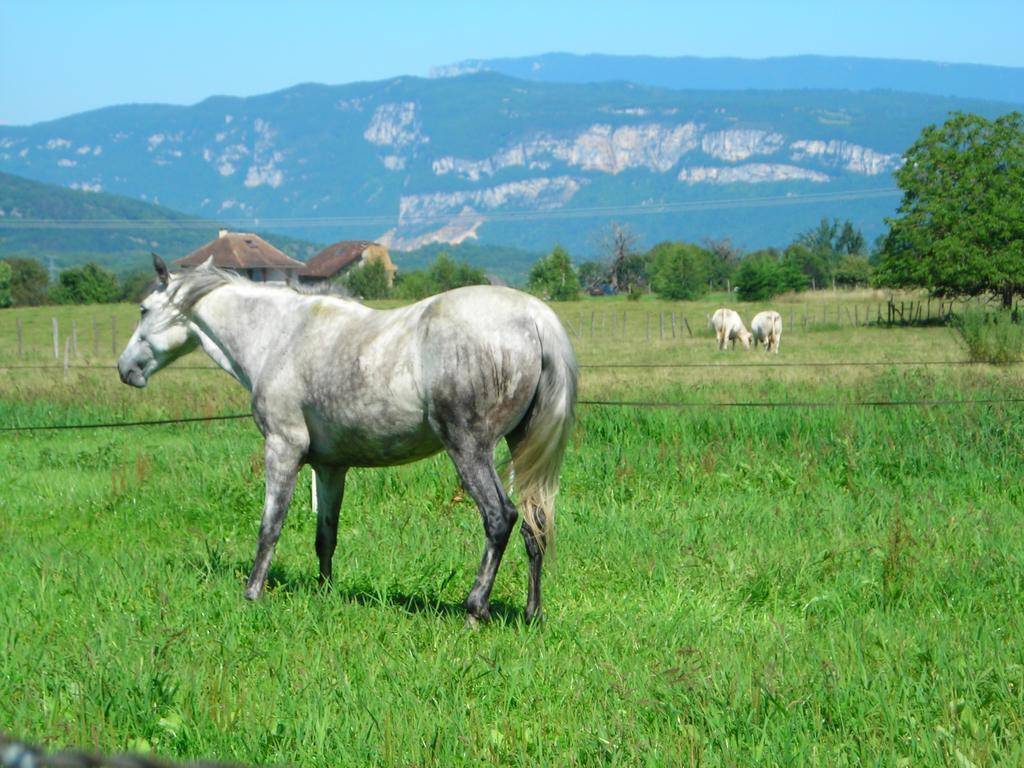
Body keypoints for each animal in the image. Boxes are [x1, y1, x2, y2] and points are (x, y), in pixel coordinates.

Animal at [117, 259, 577, 626]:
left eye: (143, 309)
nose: (126, 369)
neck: (280, 335)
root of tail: (535, 316)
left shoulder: (282, 448)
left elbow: (270, 527)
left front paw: (251, 593)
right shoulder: (330, 467)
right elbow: (326, 535)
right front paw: (325, 592)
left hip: (470, 450)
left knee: (501, 518)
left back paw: (475, 610)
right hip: (520, 448)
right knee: (535, 523)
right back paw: (532, 613)